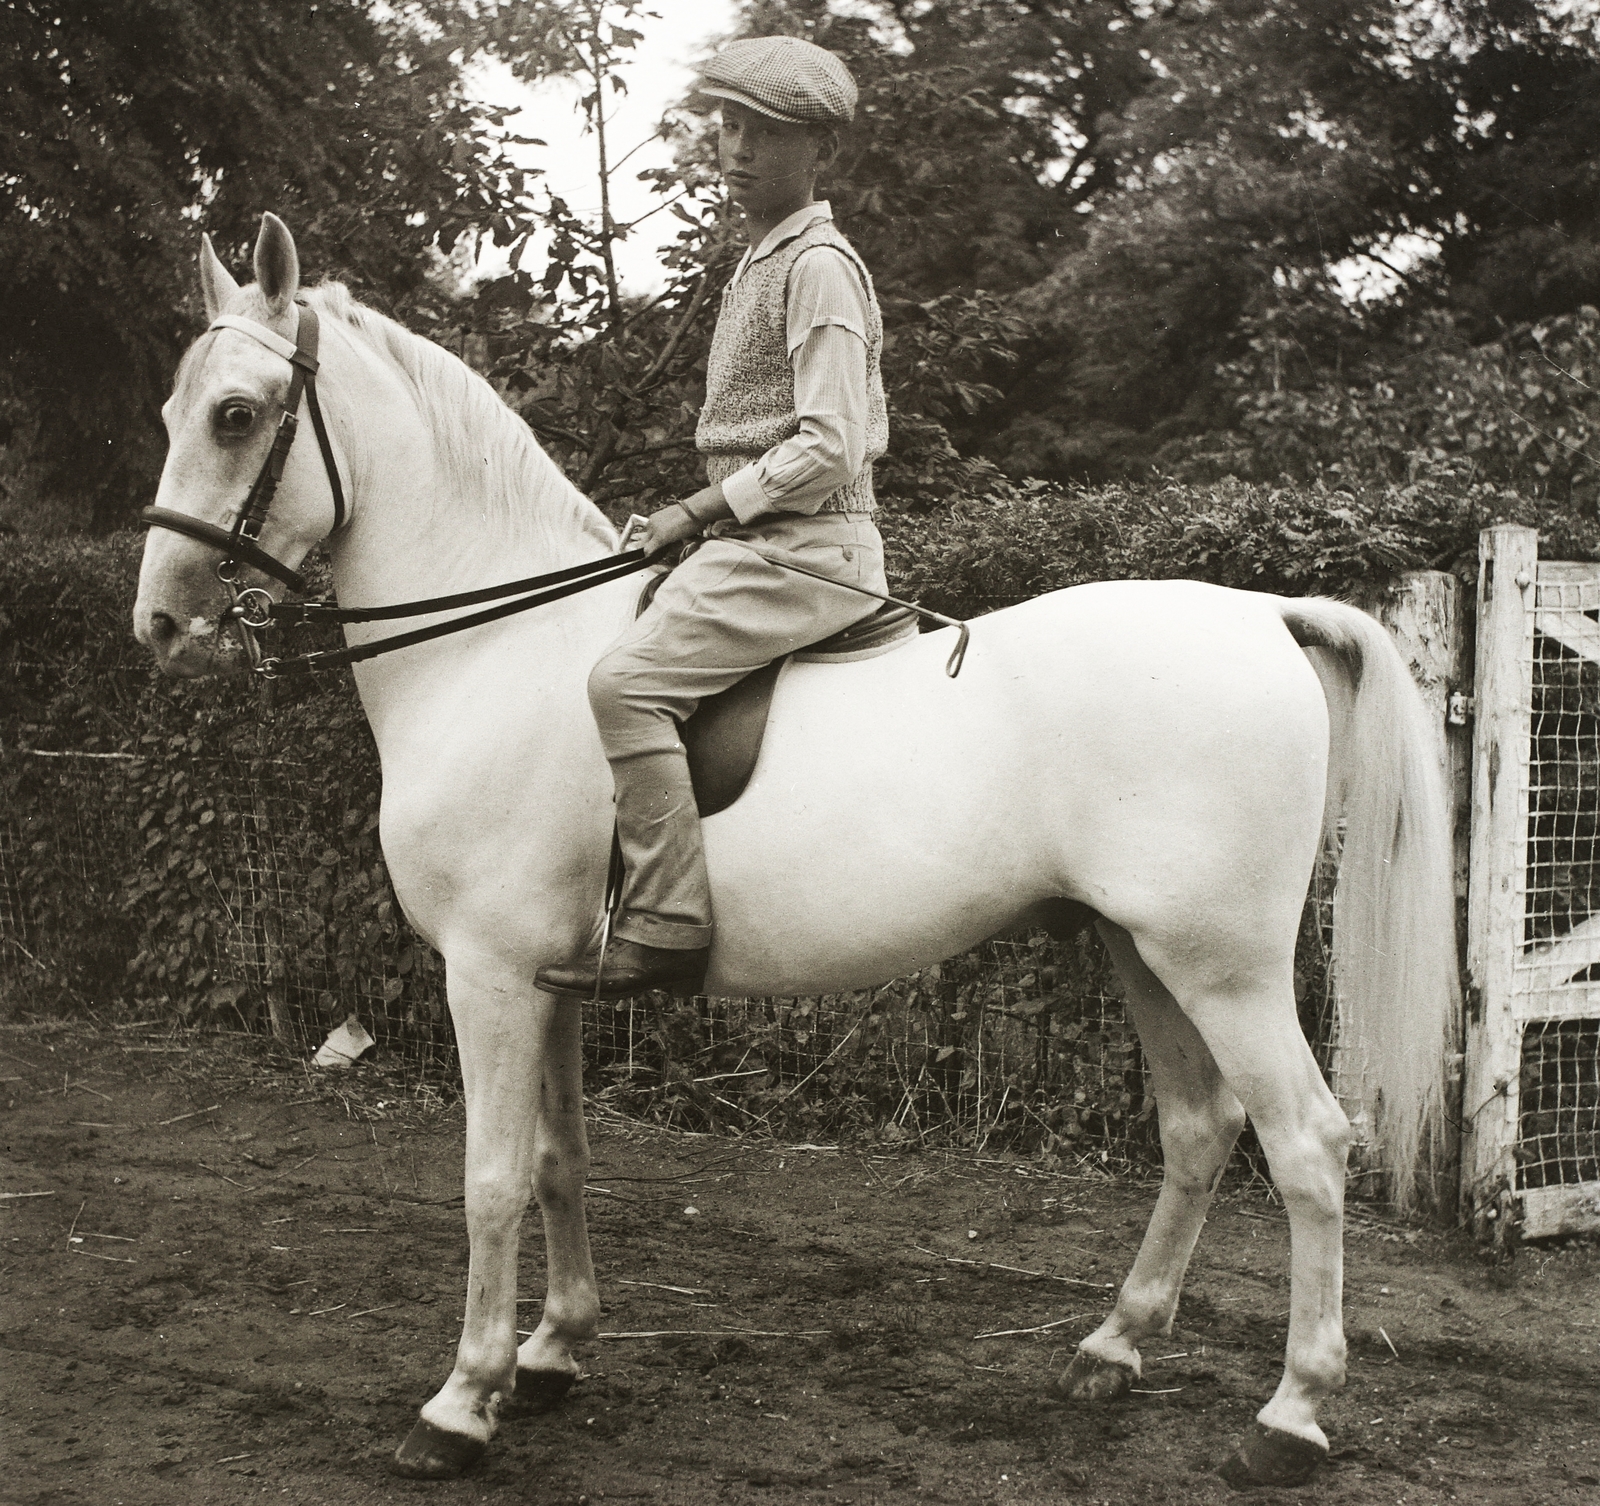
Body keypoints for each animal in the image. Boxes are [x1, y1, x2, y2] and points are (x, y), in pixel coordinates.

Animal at [137, 217, 1465, 1485]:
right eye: (170, 410)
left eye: (236, 414)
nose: (157, 620)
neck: (494, 647)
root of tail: (1263, 615)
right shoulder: (550, 980)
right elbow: (562, 1160)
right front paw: (553, 1350)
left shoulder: (491, 975)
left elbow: (491, 1180)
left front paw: (462, 1403)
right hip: (1143, 951)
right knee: (1198, 1129)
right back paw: (1114, 1346)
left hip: (1220, 966)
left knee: (1307, 1148)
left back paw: (1288, 1418)